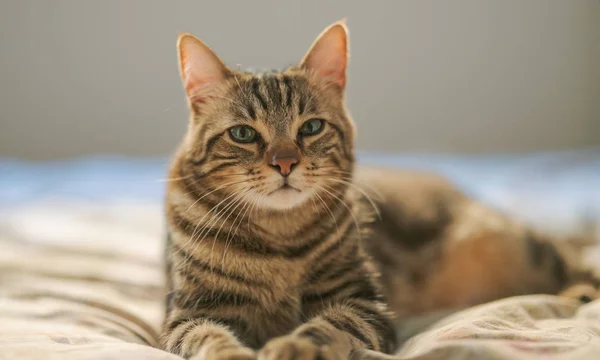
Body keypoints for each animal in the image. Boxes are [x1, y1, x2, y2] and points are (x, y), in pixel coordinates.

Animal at [162, 20, 596, 360]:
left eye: (311, 127)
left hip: (512, 245)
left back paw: (578, 293)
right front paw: (234, 352)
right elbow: (208, 337)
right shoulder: (185, 315)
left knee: (575, 259)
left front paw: (295, 345)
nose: (285, 163)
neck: (278, 241)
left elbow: (328, 325)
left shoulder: (364, 303)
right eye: (243, 134)